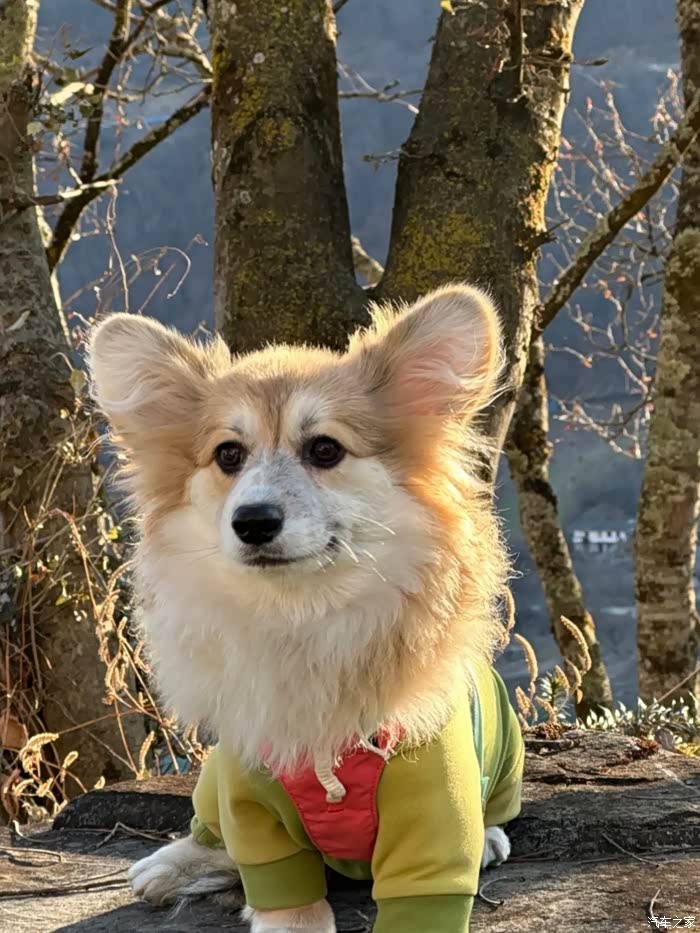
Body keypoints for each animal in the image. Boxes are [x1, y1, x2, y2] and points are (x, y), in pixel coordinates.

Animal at [88, 285, 524, 932]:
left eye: (325, 449)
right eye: (228, 455)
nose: (253, 521)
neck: (301, 617)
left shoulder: (435, 807)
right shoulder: (249, 798)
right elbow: (280, 890)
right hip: (212, 783)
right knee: (208, 831)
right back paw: (174, 865)